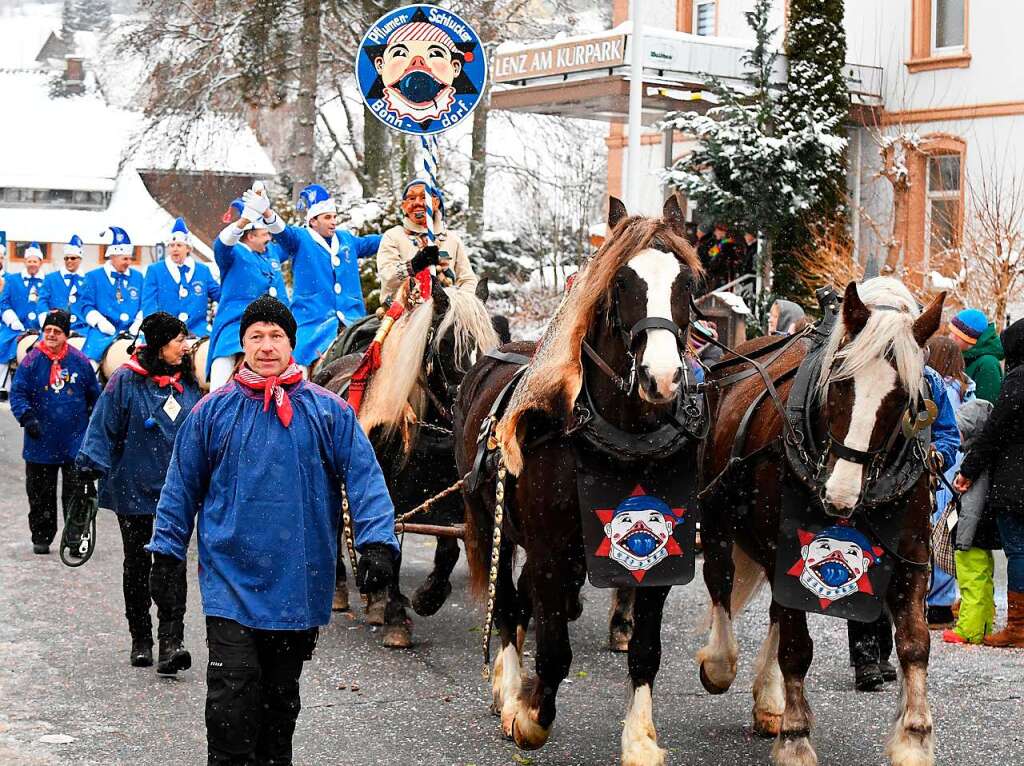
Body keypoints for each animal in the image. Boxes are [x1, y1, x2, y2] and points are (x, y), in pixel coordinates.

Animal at [317, 274, 497, 647]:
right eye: (449, 344)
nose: (474, 403)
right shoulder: (388, 496)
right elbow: (392, 554)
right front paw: (396, 619)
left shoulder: (448, 499)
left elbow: (447, 549)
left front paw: (427, 597)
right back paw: (343, 591)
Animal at [456, 194, 704, 761]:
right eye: (621, 281)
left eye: (686, 283)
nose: (662, 377)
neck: (619, 435)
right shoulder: (550, 551)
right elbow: (552, 651)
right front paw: (529, 714)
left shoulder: (660, 560)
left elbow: (646, 650)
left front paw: (640, 739)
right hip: (494, 520)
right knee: (509, 604)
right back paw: (509, 687)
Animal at [696, 278, 942, 766]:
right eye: (840, 382)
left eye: (905, 399)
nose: (840, 494)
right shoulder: (785, 548)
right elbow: (797, 648)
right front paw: (795, 738)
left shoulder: (911, 557)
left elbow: (914, 642)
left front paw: (914, 738)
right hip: (716, 519)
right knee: (720, 585)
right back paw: (719, 664)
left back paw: (769, 699)